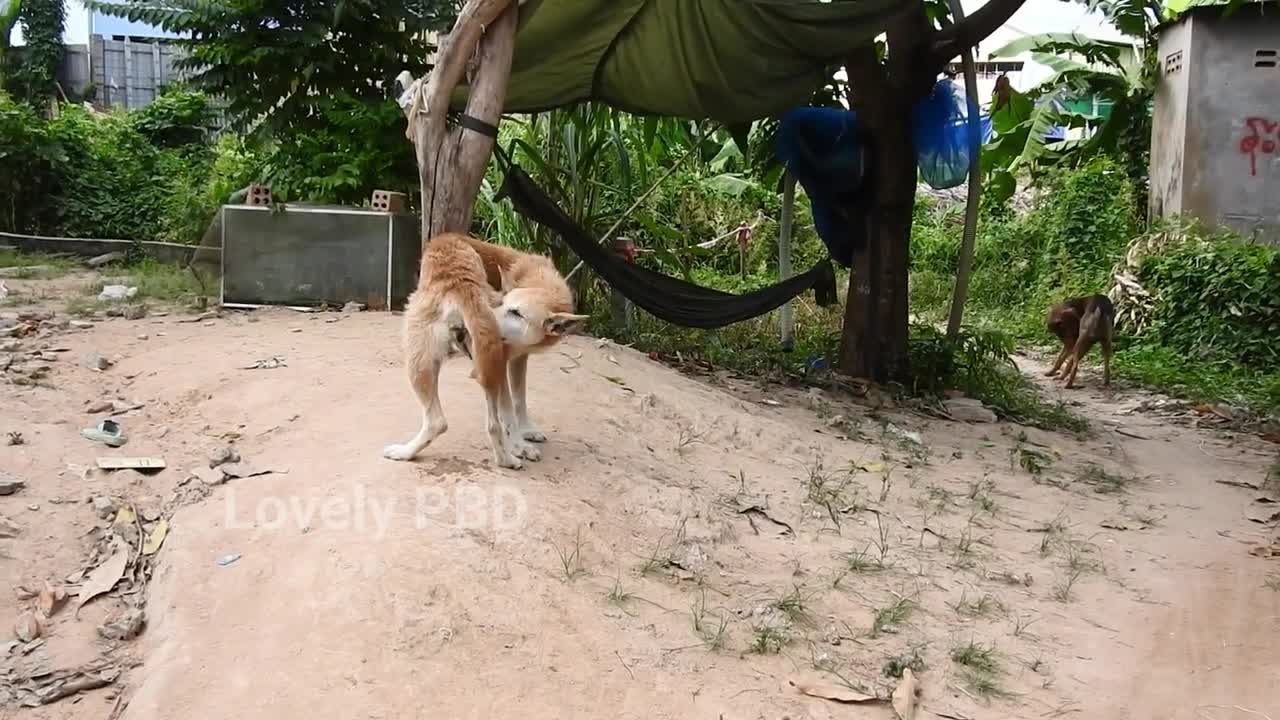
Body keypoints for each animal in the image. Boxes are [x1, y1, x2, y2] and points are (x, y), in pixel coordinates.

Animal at [381, 229, 527, 466]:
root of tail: (464, 289)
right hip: (489, 363)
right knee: (493, 424)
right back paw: (506, 460)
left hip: (418, 355)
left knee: (437, 421)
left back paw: (404, 452)